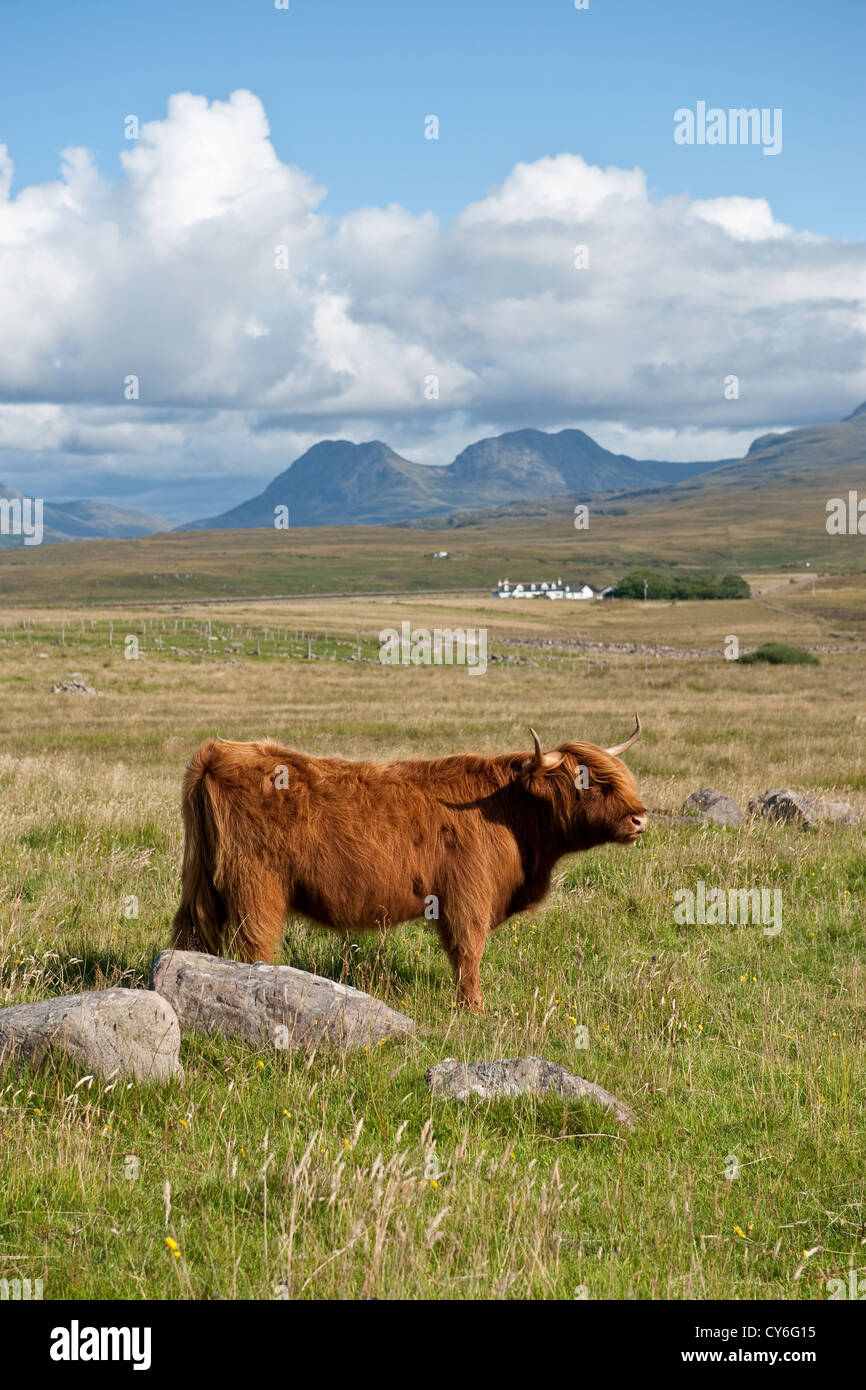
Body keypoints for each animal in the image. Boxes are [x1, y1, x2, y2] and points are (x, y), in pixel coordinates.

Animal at [170, 718, 647, 1012]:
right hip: (256, 888)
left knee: (190, 931)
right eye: (586, 781)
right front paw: (474, 1009)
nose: (640, 817)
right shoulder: (467, 897)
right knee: (252, 944)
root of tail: (218, 752)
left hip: (204, 884)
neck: (512, 811)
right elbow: (468, 953)